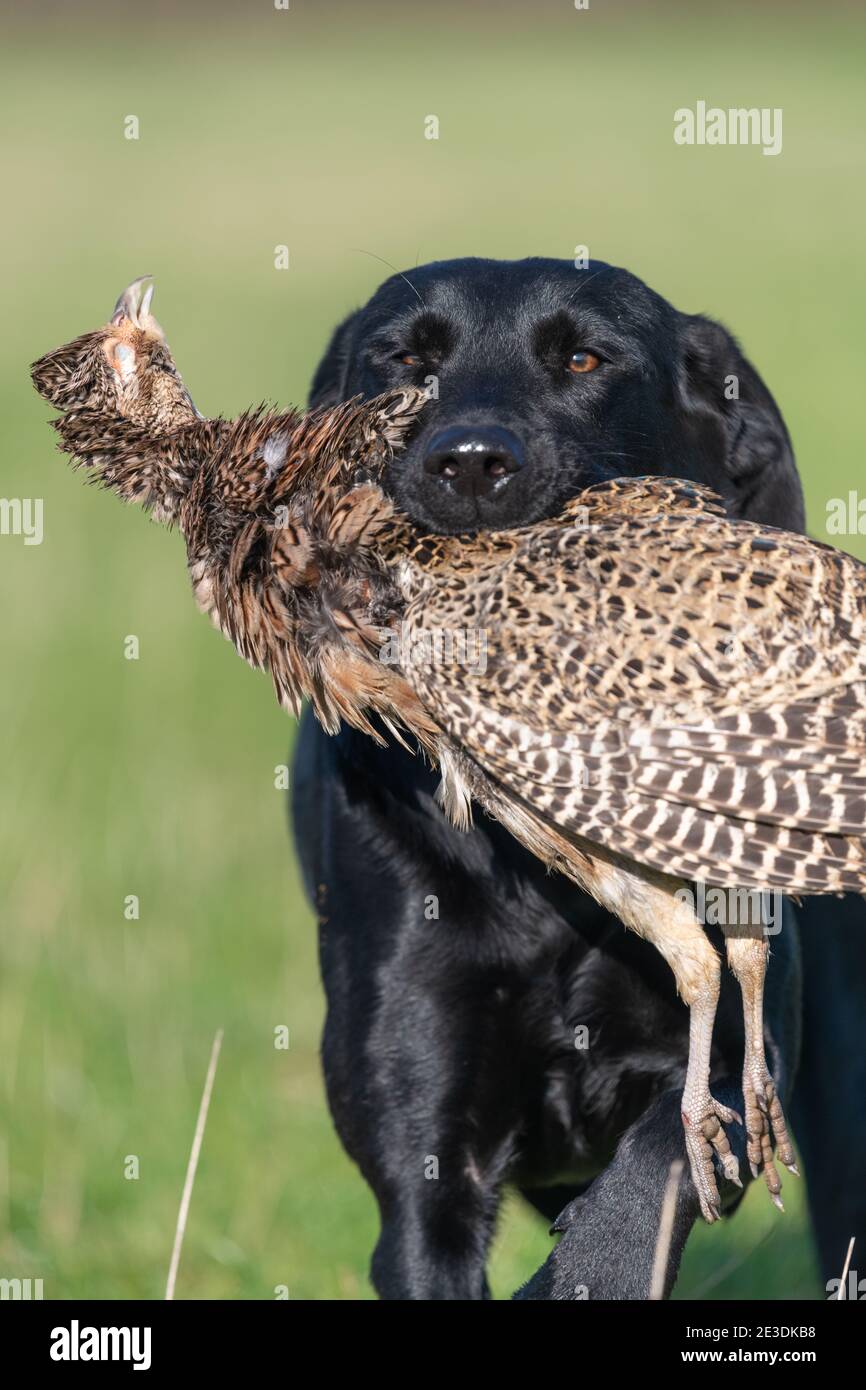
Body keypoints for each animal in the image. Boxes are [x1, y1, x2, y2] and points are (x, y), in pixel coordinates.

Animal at [293, 255, 866, 1295]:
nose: (470, 462)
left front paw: (593, 1263)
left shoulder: (744, 1018)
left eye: (584, 358)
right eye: (401, 359)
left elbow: (674, 1140)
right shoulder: (420, 1160)